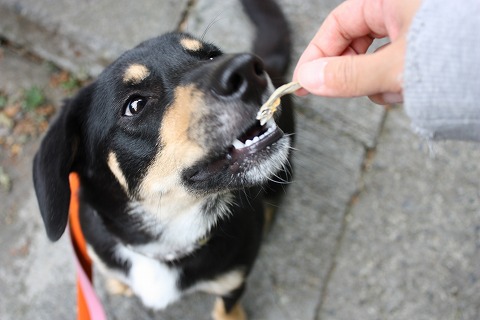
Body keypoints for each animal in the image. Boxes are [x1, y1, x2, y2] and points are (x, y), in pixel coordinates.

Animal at [32, 1, 292, 318]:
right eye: (134, 105)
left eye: (211, 55)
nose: (248, 68)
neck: (166, 241)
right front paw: (119, 284)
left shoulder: (234, 281)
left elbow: (227, 307)